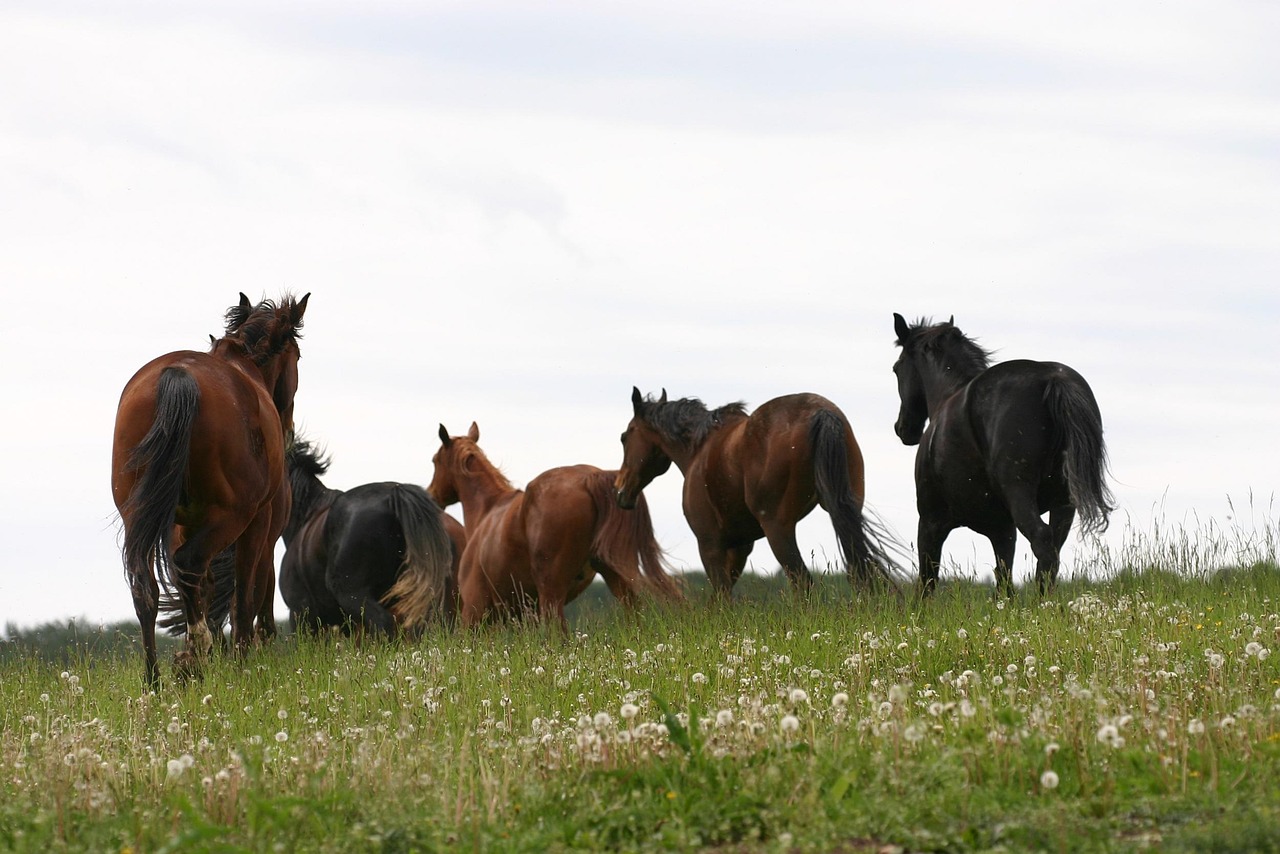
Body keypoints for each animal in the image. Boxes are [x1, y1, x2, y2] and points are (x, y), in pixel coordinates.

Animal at [111, 293, 309, 686]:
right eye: (296, 356)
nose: (290, 429)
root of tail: (179, 375)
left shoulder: (182, 525)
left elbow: (210, 588)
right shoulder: (260, 528)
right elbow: (248, 596)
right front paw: (243, 658)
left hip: (140, 515)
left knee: (147, 586)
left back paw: (156, 680)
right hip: (237, 517)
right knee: (193, 566)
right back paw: (195, 656)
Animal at [427, 422, 682, 630]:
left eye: (435, 461)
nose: (432, 496)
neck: (489, 509)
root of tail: (590, 477)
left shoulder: (474, 610)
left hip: (551, 594)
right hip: (617, 581)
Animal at [615, 387, 897, 594]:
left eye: (624, 437)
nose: (620, 490)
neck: (698, 448)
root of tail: (821, 411)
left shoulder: (709, 544)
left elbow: (720, 597)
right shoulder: (741, 546)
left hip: (778, 529)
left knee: (802, 581)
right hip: (844, 510)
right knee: (857, 572)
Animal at [891, 313, 1114, 595]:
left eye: (897, 368)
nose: (903, 429)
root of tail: (1053, 378)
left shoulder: (931, 522)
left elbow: (927, 581)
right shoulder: (1003, 529)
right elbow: (1004, 580)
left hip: (1020, 493)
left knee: (1042, 542)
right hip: (1064, 503)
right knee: (1052, 552)